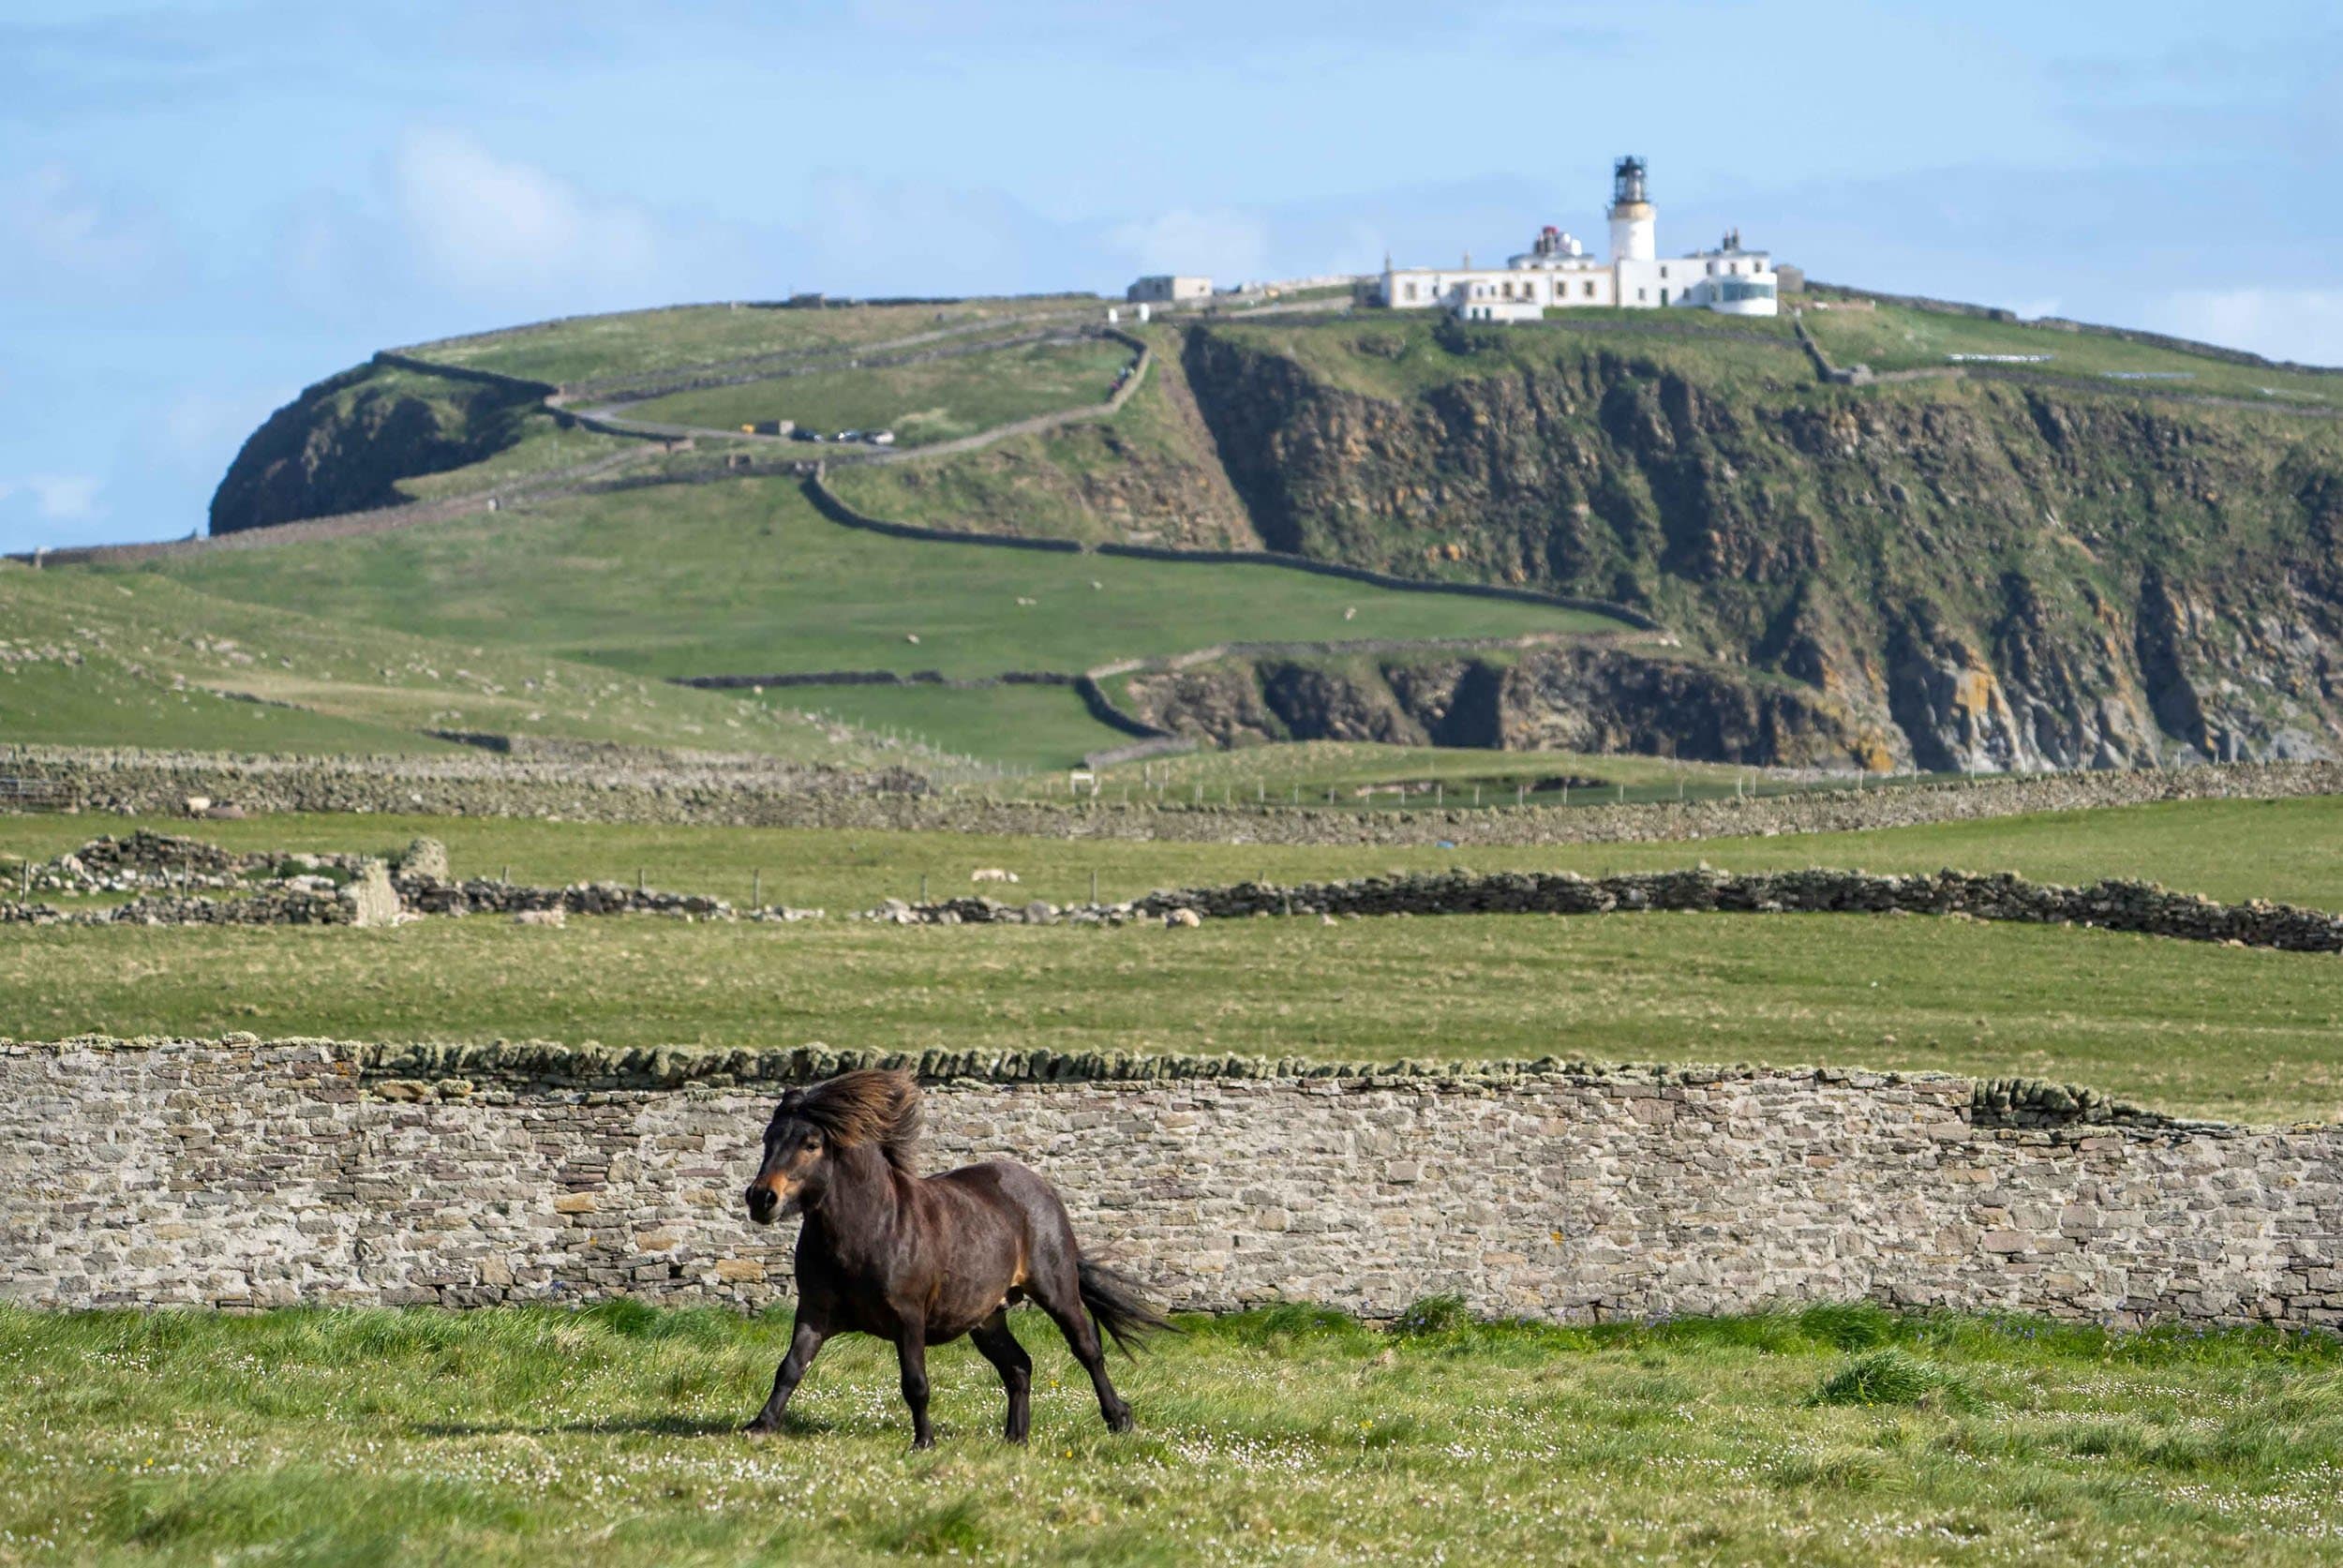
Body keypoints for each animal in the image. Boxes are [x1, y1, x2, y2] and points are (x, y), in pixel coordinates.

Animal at [740, 1068, 1171, 1448]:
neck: (869, 1229)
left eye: (811, 1143)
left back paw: (1119, 1419)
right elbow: (790, 1368)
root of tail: (1041, 1188)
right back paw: (1015, 1439)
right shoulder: (814, 1312)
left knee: (1088, 1349)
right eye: (768, 1138)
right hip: (986, 1316)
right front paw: (760, 1426)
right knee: (1018, 1366)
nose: (761, 1198)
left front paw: (923, 1442)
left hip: (1056, 1289)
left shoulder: (908, 1317)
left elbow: (915, 1383)